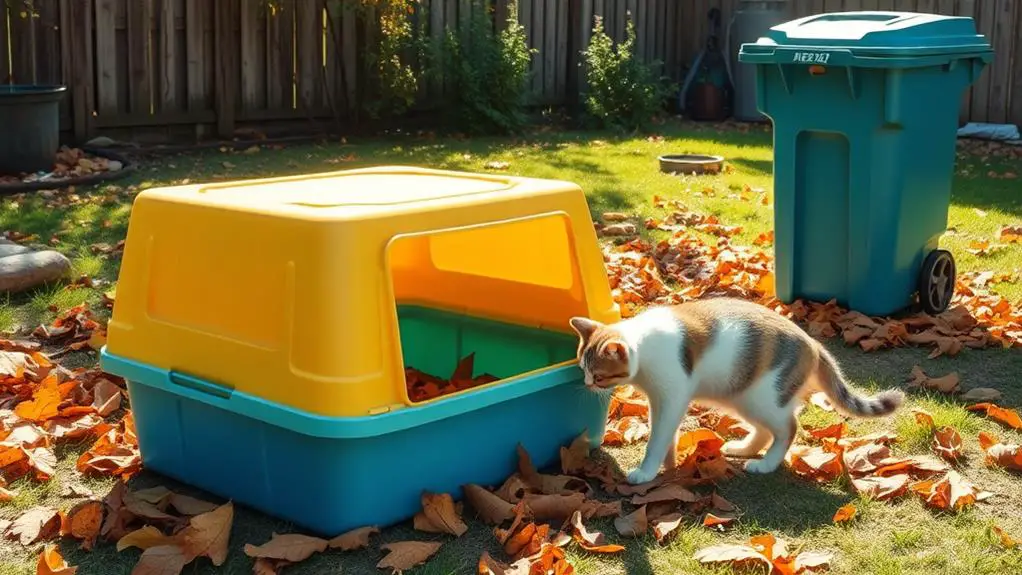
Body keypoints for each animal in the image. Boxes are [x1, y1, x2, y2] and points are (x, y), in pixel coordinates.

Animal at [572, 296, 907, 486]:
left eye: (598, 376)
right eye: (582, 369)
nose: (586, 384)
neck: (644, 345)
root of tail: (812, 342)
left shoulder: (671, 398)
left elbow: (657, 439)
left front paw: (646, 472)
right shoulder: (661, 401)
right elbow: (666, 436)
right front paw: (667, 465)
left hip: (764, 398)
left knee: (788, 428)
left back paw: (767, 464)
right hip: (742, 396)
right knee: (764, 431)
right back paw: (744, 449)